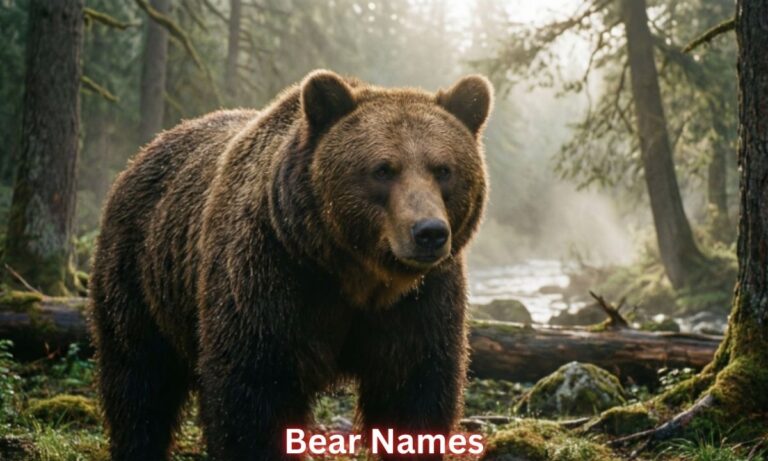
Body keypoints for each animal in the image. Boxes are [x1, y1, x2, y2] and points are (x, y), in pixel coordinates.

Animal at [89, 69, 493, 460]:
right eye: (383, 169)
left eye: (443, 169)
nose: (429, 232)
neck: (354, 273)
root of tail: (147, 149)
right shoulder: (272, 277)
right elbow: (255, 392)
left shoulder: (419, 304)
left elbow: (413, 389)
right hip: (141, 273)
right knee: (139, 379)